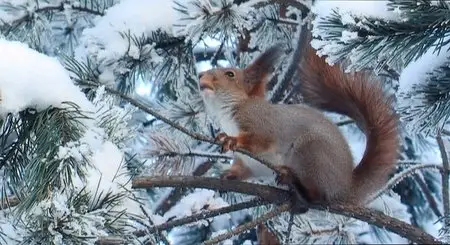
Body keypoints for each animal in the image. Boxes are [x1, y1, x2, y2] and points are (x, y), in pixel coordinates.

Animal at [199, 43, 400, 206]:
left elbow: (260, 140)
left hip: (311, 150)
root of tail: (345, 186)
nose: (200, 75)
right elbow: (242, 168)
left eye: (230, 74)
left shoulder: (261, 122)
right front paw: (228, 174)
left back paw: (297, 184)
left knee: (318, 196)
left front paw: (231, 139)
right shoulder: (248, 162)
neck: (229, 111)